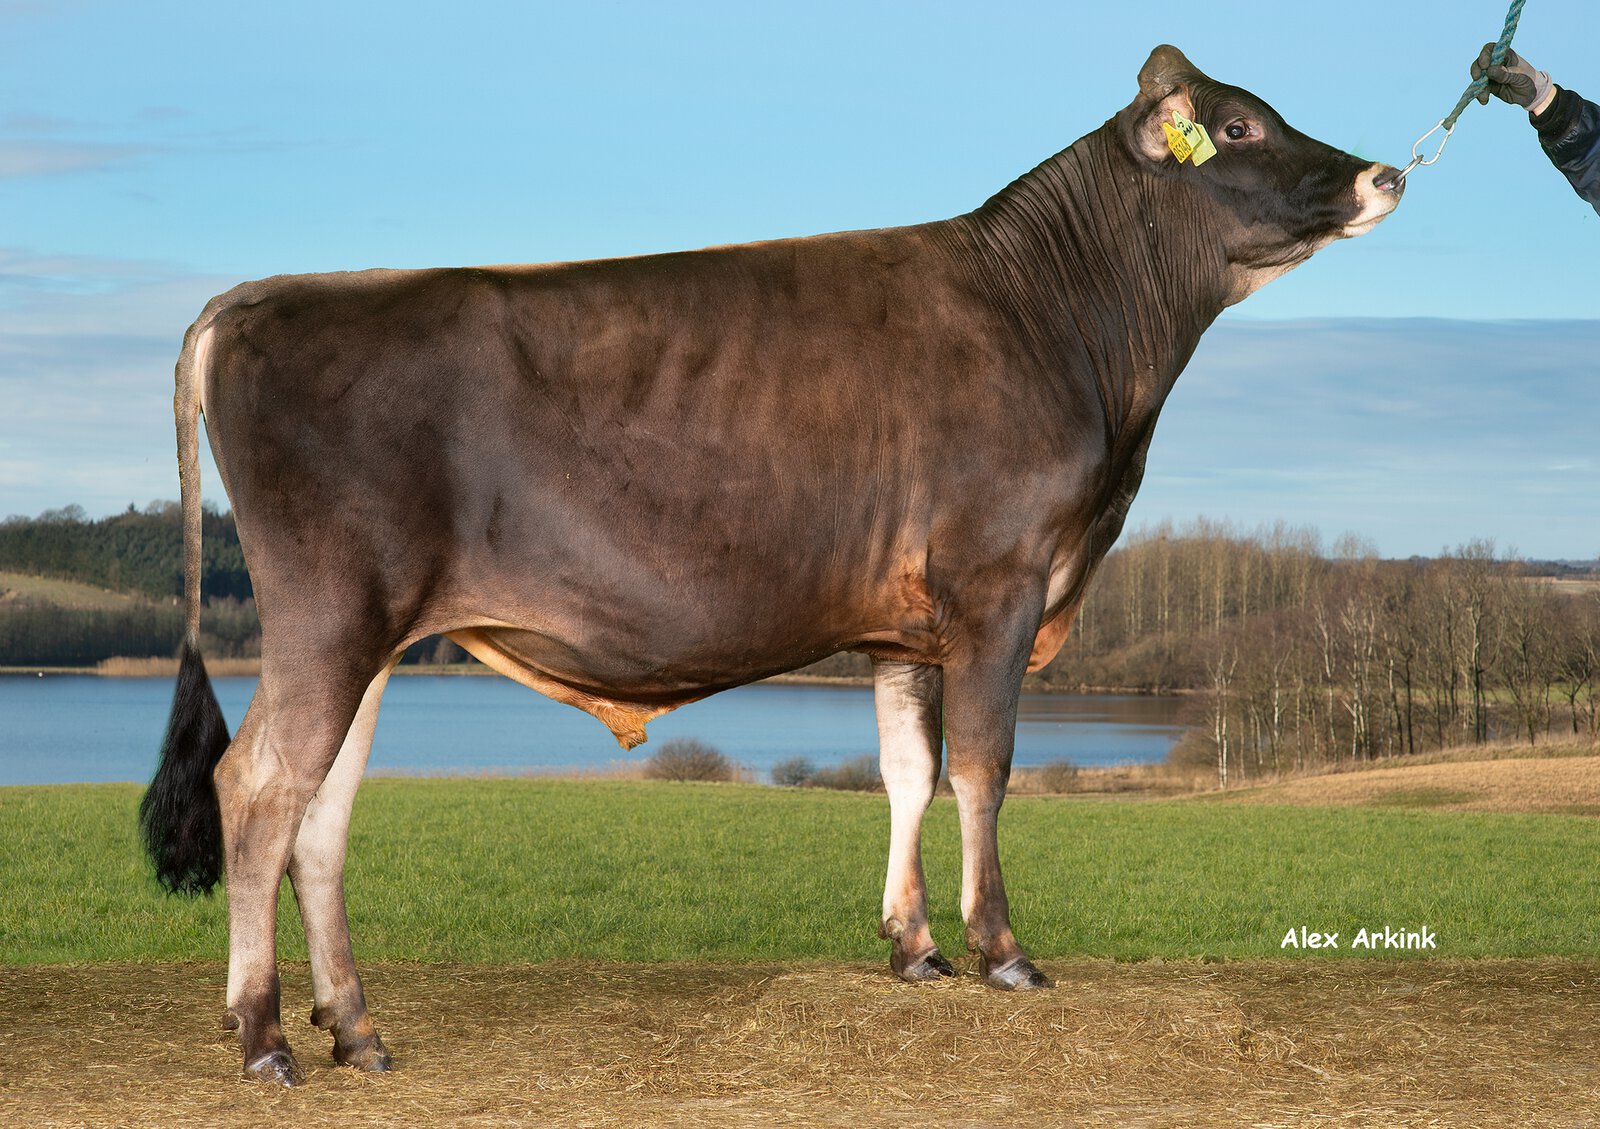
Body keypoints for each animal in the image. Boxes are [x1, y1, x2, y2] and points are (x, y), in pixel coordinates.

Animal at [141, 45, 1403, 1086]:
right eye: (1237, 126)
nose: (1384, 173)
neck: (1067, 326)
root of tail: (260, 297)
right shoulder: (998, 582)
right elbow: (984, 768)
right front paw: (1001, 951)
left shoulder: (904, 625)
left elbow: (906, 772)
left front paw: (914, 948)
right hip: (329, 610)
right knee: (257, 786)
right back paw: (261, 1038)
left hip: (375, 631)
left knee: (322, 814)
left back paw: (355, 1028)